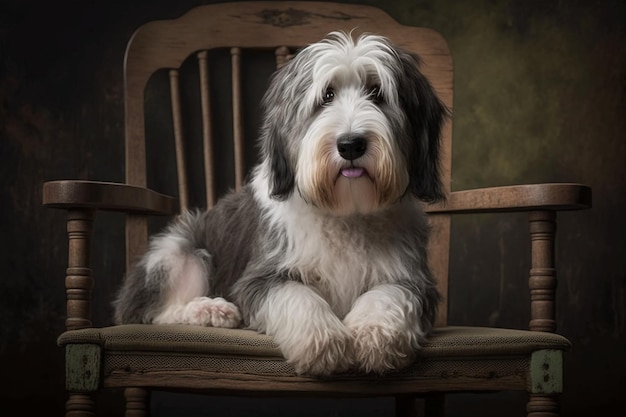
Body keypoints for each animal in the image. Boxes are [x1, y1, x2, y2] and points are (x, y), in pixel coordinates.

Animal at [112, 30, 448, 376]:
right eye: (326, 96)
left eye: (377, 92)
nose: (350, 144)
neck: (346, 212)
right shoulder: (261, 275)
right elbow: (295, 293)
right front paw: (323, 342)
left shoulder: (413, 279)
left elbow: (389, 294)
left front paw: (376, 336)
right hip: (178, 253)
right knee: (150, 312)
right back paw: (210, 311)